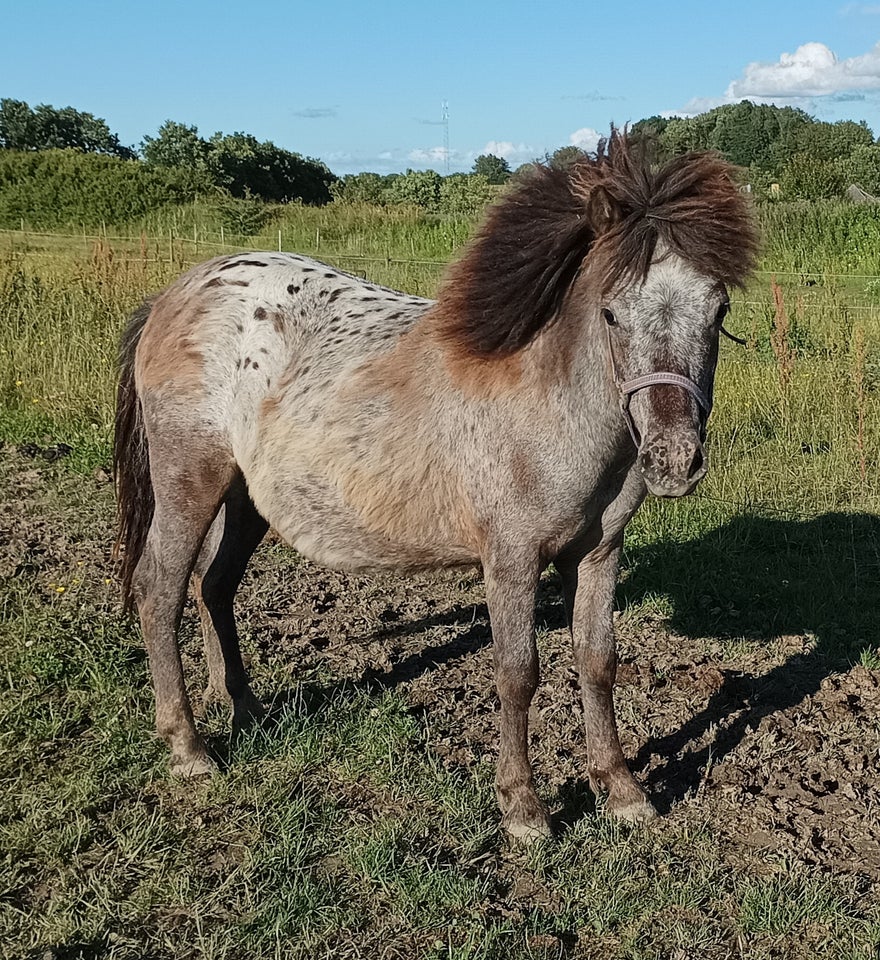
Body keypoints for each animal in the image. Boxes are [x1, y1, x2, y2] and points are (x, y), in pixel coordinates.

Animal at [115, 133, 756, 840]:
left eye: (719, 309)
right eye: (612, 313)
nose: (673, 458)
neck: (548, 399)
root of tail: (171, 298)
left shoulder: (597, 553)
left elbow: (598, 661)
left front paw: (621, 790)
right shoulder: (511, 558)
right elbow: (517, 673)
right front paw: (523, 808)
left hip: (243, 501)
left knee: (214, 588)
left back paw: (246, 709)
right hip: (190, 484)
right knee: (160, 591)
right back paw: (189, 748)